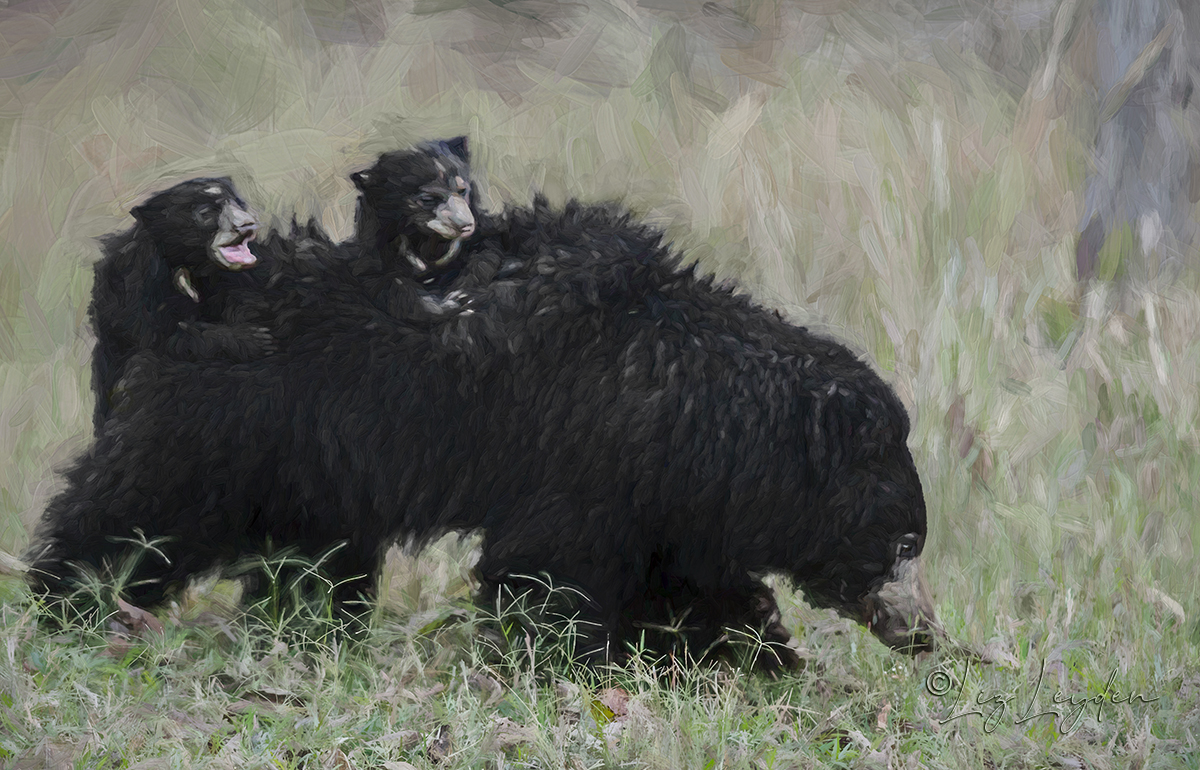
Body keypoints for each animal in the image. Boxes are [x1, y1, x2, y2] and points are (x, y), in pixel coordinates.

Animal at [23, 196, 931, 666]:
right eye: (899, 540)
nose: (923, 631)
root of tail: (159, 302)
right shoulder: (583, 463)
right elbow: (548, 571)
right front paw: (566, 660)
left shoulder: (655, 491)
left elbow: (684, 583)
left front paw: (753, 654)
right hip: (215, 434)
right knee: (129, 518)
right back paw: (69, 603)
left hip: (306, 473)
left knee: (305, 564)